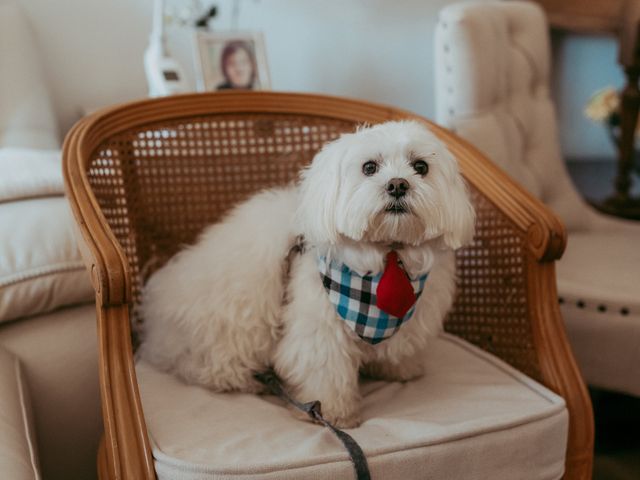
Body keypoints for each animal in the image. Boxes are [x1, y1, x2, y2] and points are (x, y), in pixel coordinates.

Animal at [138, 120, 472, 428]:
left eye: (420, 166)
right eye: (369, 167)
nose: (398, 184)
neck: (389, 254)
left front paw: (400, 368)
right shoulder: (319, 329)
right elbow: (325, 370)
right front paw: (334, 413)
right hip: (228, 330)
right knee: (210, 367)